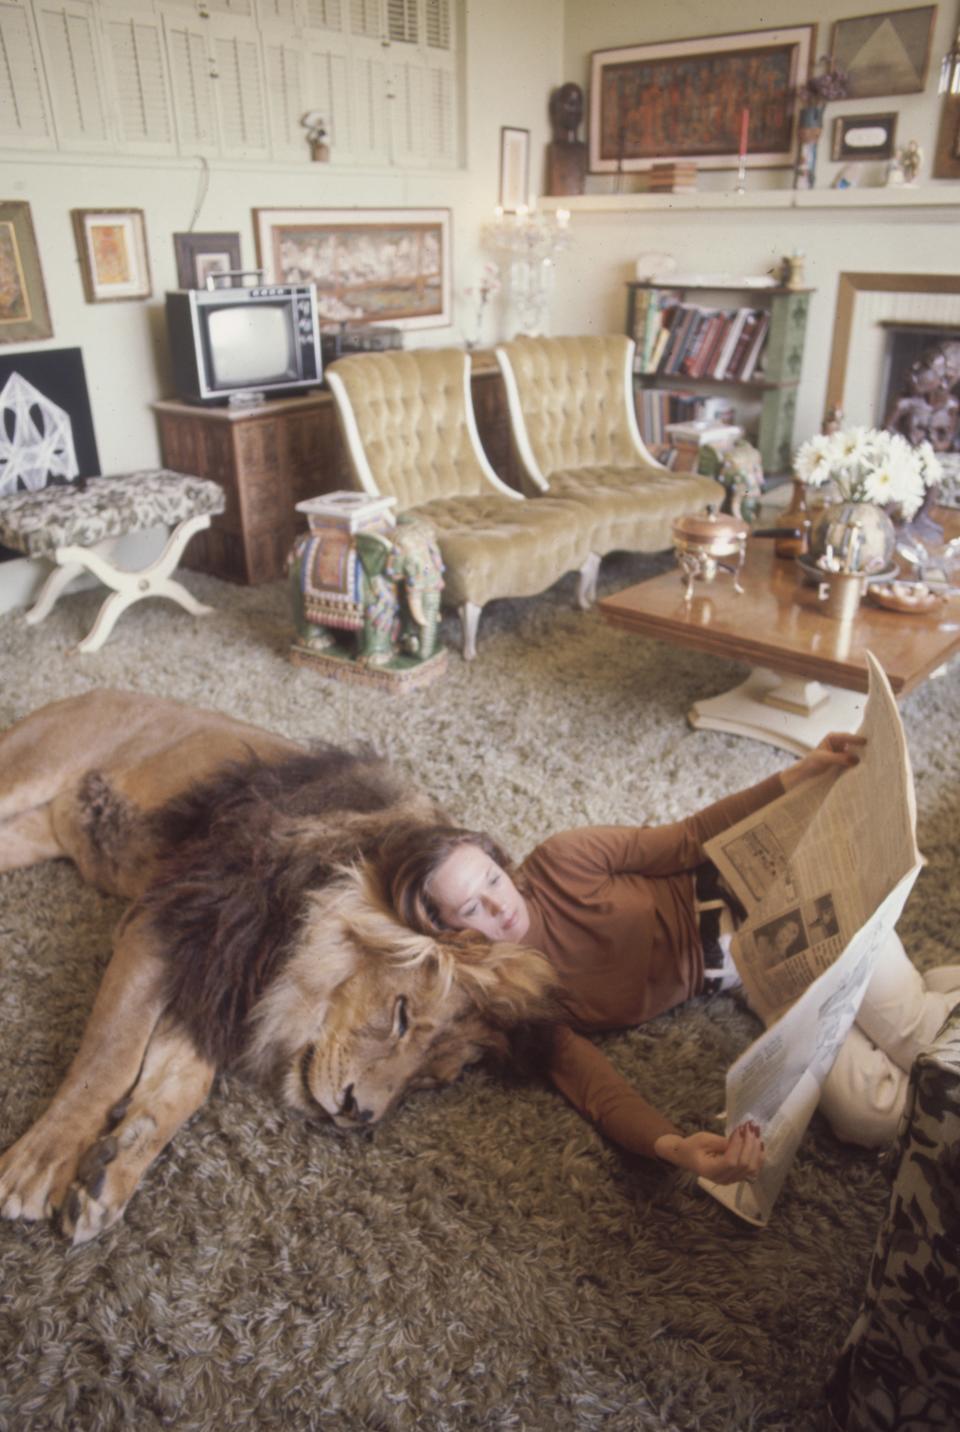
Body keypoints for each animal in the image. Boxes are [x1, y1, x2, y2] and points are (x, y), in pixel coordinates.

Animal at [0, 690, 555, 1242]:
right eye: (400, 1016)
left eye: (429, 1082)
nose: (358, 1113)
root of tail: (97, 691)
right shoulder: (167, 924)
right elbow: (110, 1055)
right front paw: (40, 1165)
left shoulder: (217, 985)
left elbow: (180, 1087)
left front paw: (107, 1175)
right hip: (30, 768)